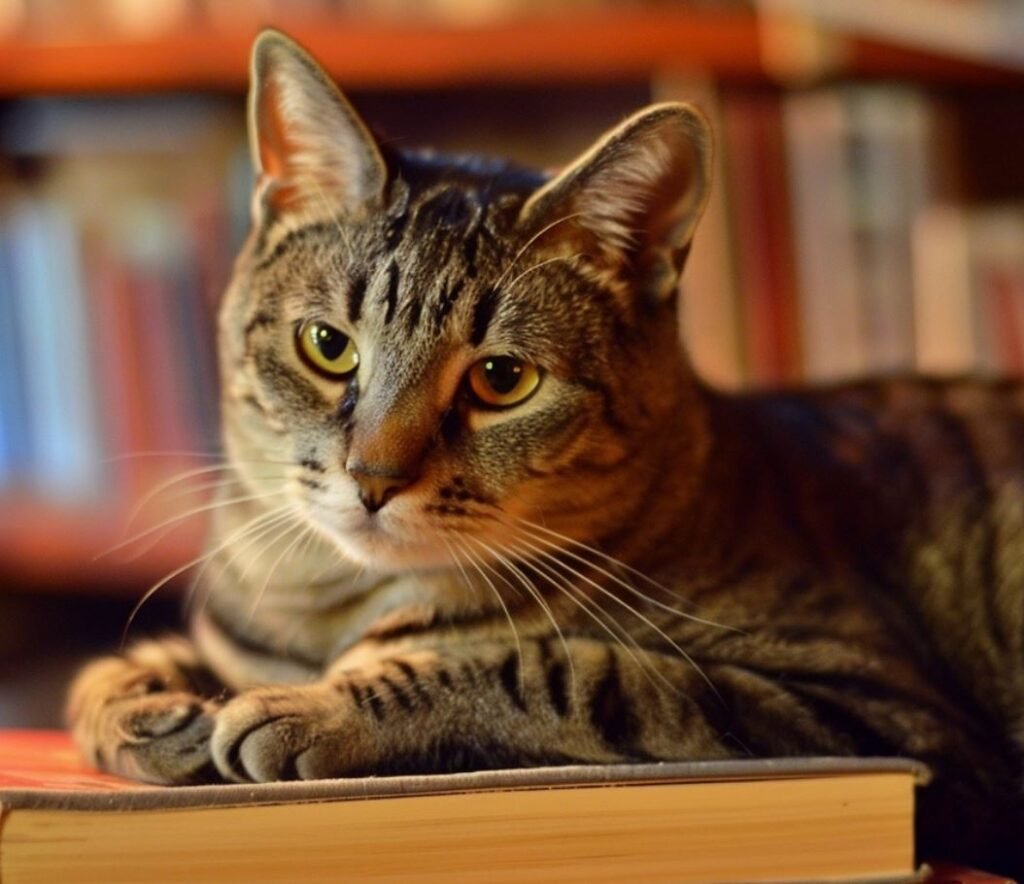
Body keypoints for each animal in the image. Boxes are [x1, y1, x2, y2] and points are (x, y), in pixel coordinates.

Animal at [68, 29, 1024, 876]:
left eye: (502, 379)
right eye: (327, 346)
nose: (373, 479)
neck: (334, 609)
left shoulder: (869, 709)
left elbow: (559, 669)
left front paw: (314, 710)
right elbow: (103, 674)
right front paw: (153, 712)